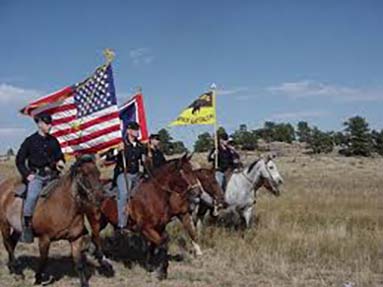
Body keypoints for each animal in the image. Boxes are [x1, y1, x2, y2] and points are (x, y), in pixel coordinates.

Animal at [0, 156, 105, 286]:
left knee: (12, 243)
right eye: (84, 174)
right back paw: (17, 270)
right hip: (4, 224)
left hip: (18, 229)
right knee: (8, 244)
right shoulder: (44, 239)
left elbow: (79, 264)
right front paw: (37, 279)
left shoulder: (75, 239)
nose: (100, 197)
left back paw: (13, 268)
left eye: (98, 173)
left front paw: (84, 283)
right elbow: (43, 261)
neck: (63, 206)